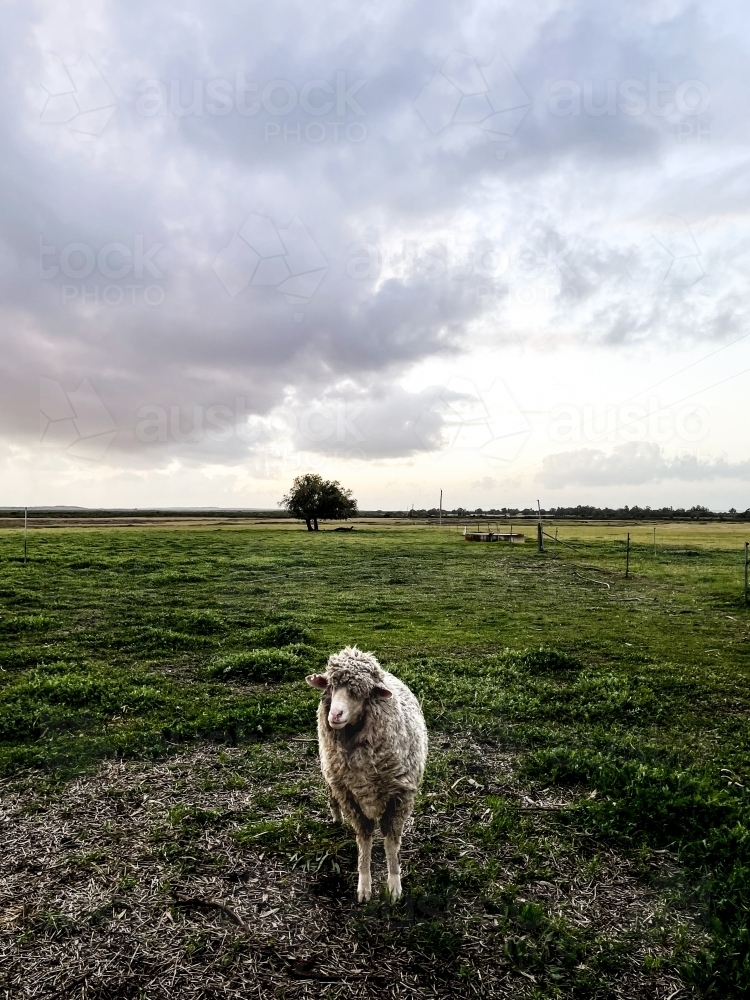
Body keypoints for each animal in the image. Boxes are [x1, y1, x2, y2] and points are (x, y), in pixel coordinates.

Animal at [306, 644, 428, 904]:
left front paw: (394, 886)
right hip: (330, 772)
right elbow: (364, 841)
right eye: (331, 686)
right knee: (331, 795)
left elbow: (391, 844)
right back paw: (336, 817)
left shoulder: (399, 798)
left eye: (360, 692)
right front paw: (364, 885)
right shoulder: (350, 798)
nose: (335, 715)